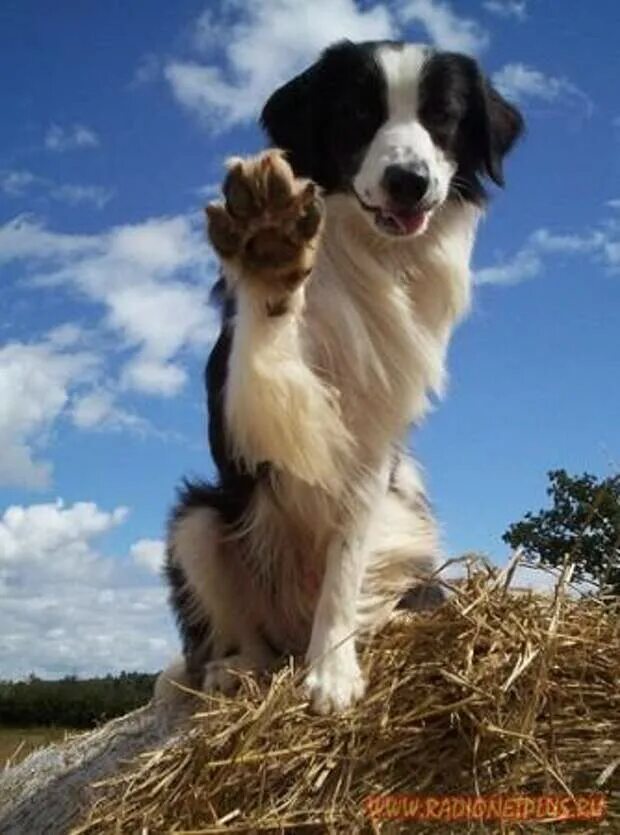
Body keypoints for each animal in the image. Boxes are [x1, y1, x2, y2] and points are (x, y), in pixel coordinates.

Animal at [156, 39, 524, 716]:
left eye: (443, 117)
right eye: (357, 113)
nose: (410, 181)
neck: (367, 254)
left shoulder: (372, 445)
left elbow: (346, 564)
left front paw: (332, 671)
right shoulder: (249, 416)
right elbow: (266, 344)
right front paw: (269, 250)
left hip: (410, 524)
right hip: (198, 522)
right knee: (247, 635)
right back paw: (233, 669)